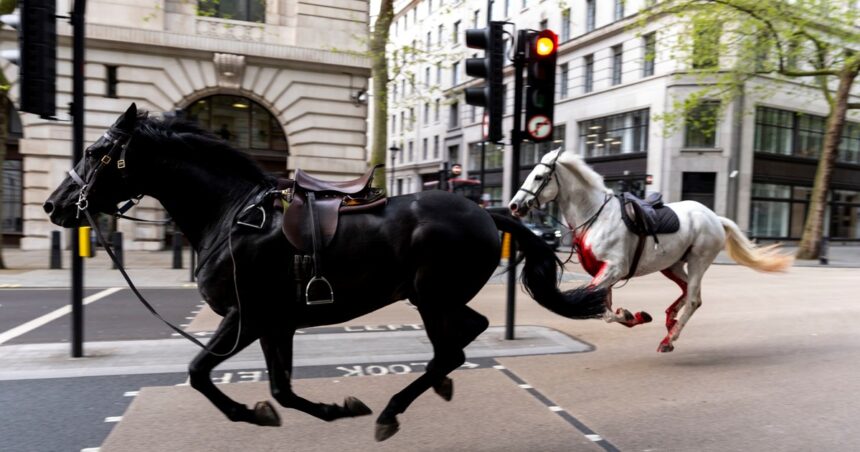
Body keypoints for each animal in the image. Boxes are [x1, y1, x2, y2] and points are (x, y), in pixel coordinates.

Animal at [42, 104, 604, 440]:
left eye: (94, 151)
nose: (54, 205)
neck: (231, 214)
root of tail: (487, 212)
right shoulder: (275, 323)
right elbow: (281, 389)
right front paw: (330, 409)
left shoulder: (246, 317)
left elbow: (200, 372)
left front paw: (252, 413)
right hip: (433, 298)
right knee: (462, 339)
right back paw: (430, 388)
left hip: (431, 296)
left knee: (455, 345)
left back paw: (393, 410)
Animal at [510, 150, 792, 352]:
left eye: (538, 177)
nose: (514, 205)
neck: (596, 216)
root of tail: (714, 217)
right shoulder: (604, 272)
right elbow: (603, 308)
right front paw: (632, 315)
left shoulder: (614, 268)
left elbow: (600, 308)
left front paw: (630, 315)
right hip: (672, 264)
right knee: (687, 291)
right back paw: (670, 321)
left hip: (699, 261)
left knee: (693, 299)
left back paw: (669, 339)